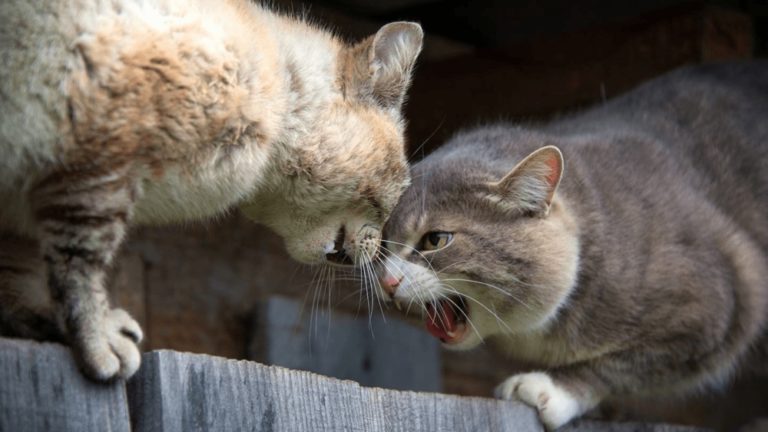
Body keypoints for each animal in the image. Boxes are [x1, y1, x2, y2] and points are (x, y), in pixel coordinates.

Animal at [378, 62, 768, 430]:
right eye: (382, 240)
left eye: (436, 240)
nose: (387, 281)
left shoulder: (720, 304)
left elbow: (622, 365)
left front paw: (550, 388)